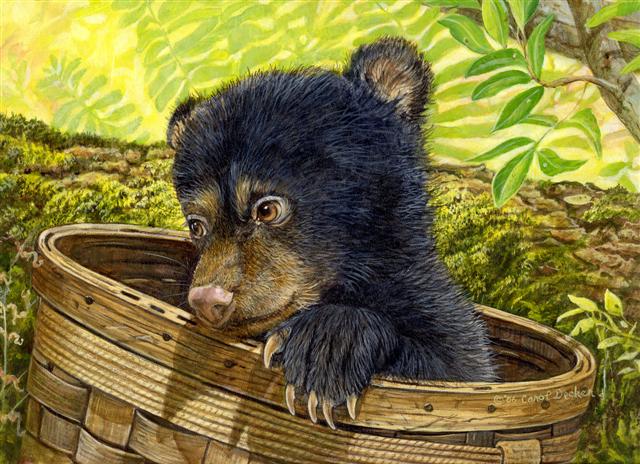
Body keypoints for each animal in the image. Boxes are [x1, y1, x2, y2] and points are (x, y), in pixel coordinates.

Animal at [167, 36, 497, 430]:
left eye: (268, 208)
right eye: (196, 224)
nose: (208, 299)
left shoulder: (438, 312)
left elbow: (455, 366)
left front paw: (324, 348)